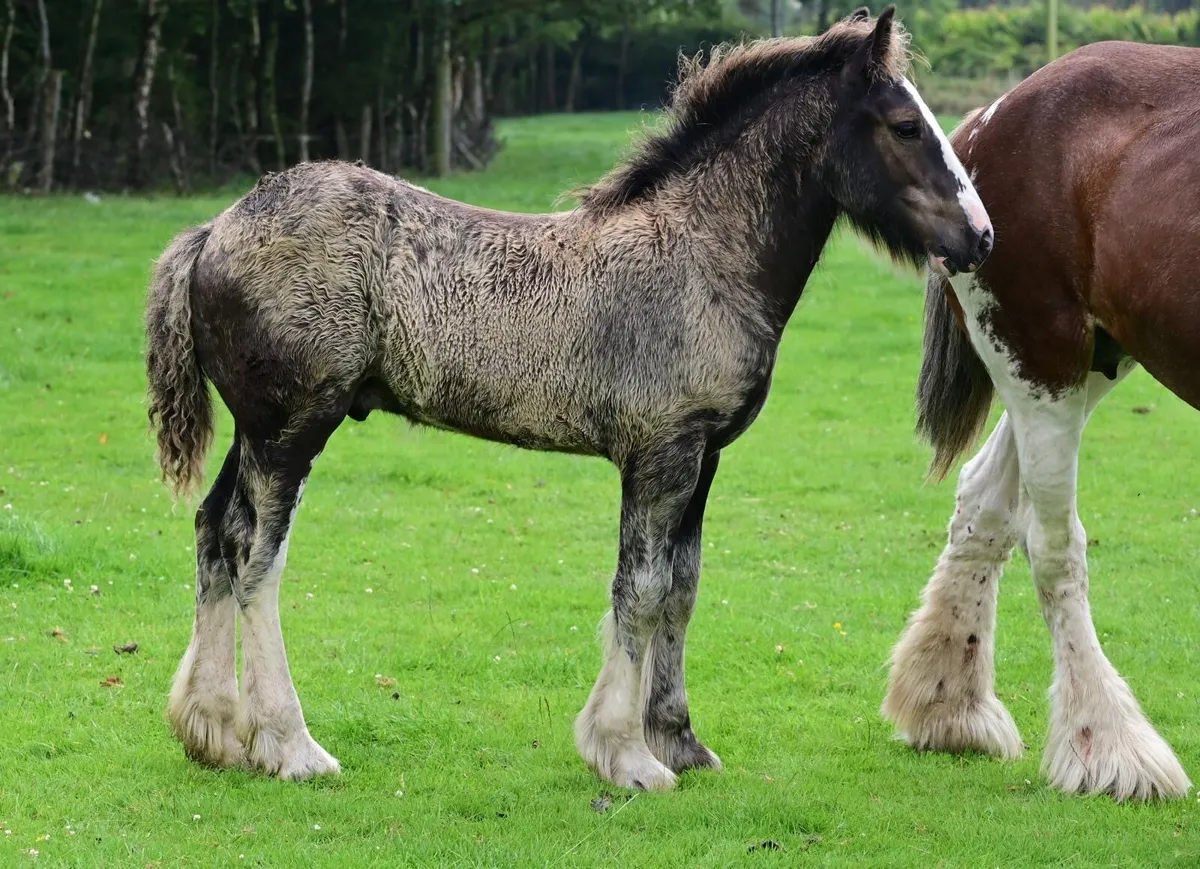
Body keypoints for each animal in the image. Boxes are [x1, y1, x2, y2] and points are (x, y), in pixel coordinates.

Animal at [146, 7, 991, 790]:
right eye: (905, 125)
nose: (981, 236)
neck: (702, 255)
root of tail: (215, 229)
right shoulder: (660, 454)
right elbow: (640, 589)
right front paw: (626, 754)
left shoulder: (704, 458)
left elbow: (682, 587)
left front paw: (679, 741)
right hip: (291, 430)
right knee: (257, 556)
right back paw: (288, 744)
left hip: (254, 432)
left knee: (214, 532)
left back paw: (212, 730)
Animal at [882, 40, 1200, 801]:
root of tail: (986, 120)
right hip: (1042, 361)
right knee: (1055, 546)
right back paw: (1106, 745)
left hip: (1080, 365)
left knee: (984, 503)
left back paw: (949, 706)